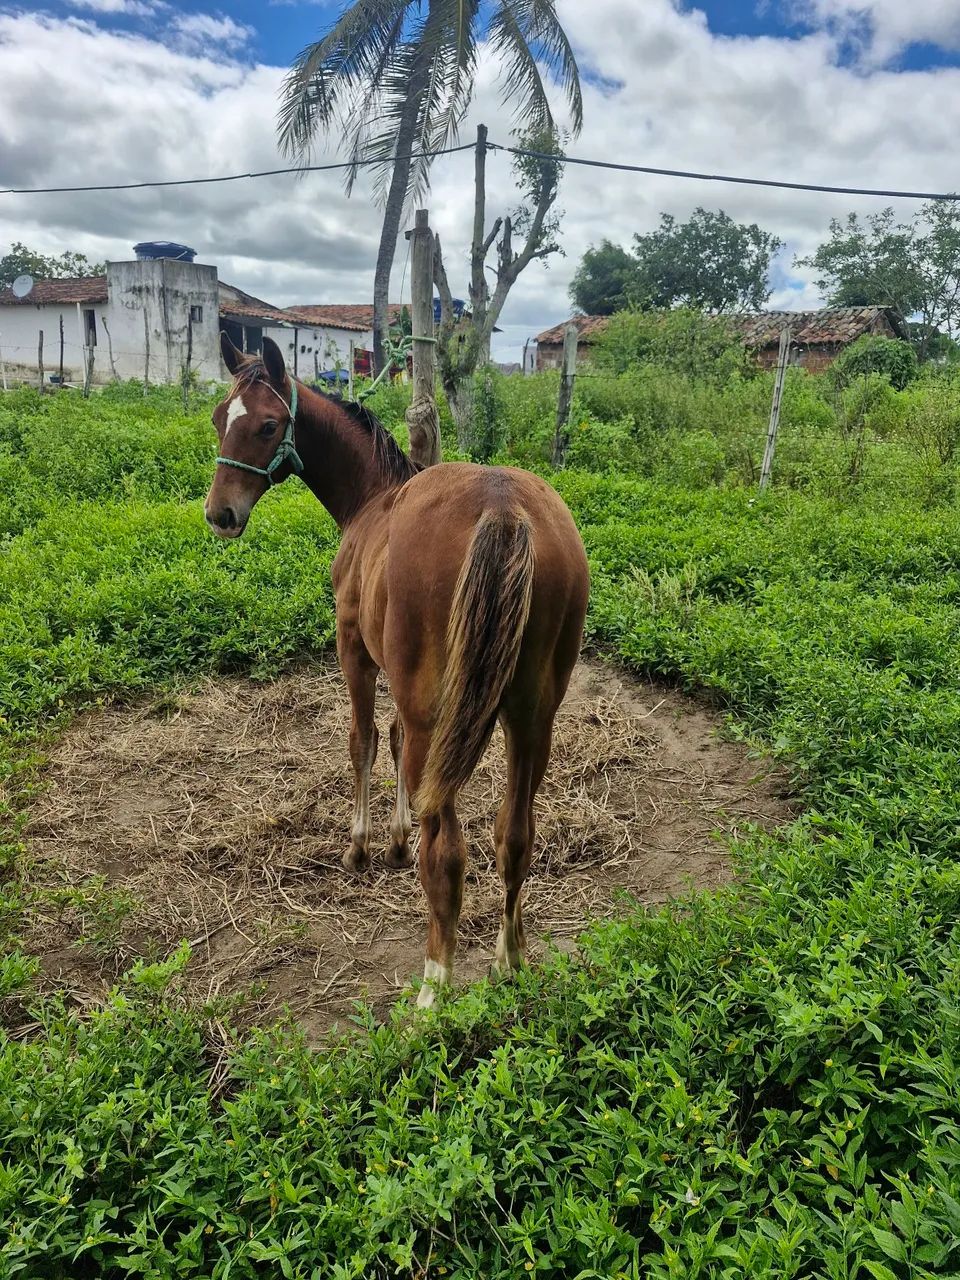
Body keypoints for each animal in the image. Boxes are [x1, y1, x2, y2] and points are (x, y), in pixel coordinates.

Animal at [205, 332, 589, 1007]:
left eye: (268, 424)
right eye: (218, 418)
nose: (220, 513)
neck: (372, 499)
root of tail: (503, 507)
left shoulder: (354, 647)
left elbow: (362, 738)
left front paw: (363, 845)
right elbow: (392, 738)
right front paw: (395, 835)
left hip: (441, 709)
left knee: (449, 850)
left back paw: (434, 985)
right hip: (531, 720)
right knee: (515, 835)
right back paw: (508, 959)